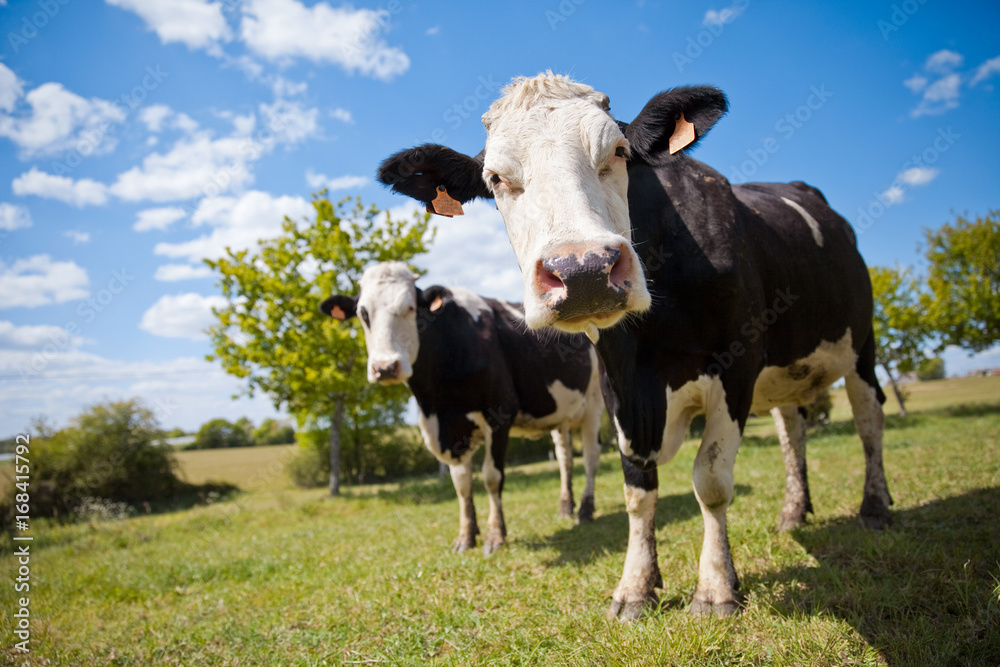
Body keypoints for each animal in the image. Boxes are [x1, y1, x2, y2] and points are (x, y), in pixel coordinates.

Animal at [320, 264, 600, 556]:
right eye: (363, 313)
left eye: (410, 307)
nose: (385, 367)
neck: (439, 402)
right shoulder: (445, 428)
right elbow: (462, 483)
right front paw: (466, 536)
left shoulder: (500, 411)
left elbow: (491, 477)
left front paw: (495, 536)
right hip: (561, 414)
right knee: (565, 459)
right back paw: (566, 508)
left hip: (595, 400)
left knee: (591, 456)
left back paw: (585, 510)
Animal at [378, 73, 896, 620]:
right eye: (496, 178)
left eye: (619, 151)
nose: (582, 271)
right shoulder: (619, 385)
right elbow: (636, 490)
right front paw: (636, 586)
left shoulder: (736, 369)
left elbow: (711, 480)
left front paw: (715, 588)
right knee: (791, 431)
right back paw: (795, 511)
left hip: (862, 344)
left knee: (869, 420)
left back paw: (875, 506)